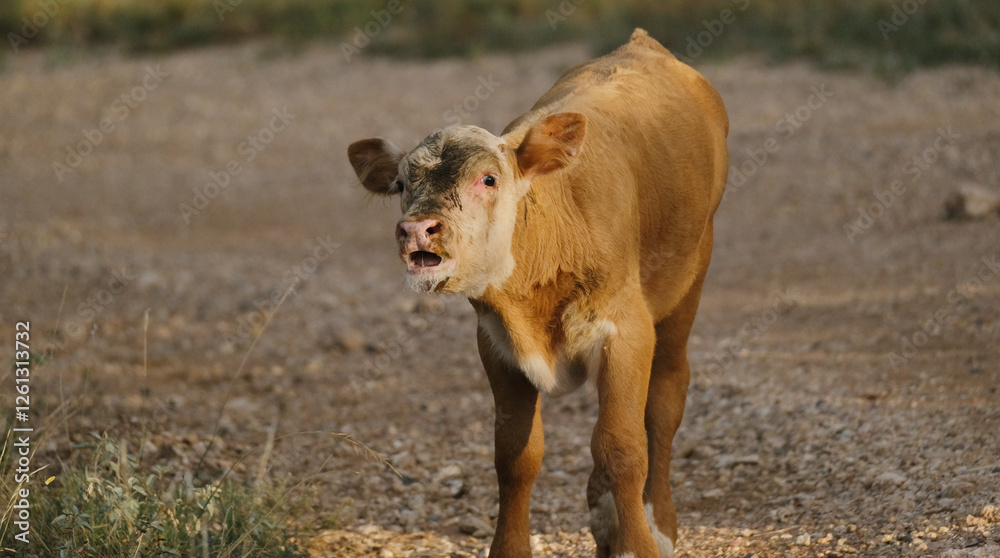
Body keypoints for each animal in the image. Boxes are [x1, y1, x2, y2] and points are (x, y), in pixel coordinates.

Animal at [347, 28, 729, 558]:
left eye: (488, 178)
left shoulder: (625, 328)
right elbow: (515, 456)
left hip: (690, 277)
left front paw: (638, 542)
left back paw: (660, 524)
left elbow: (622, 446)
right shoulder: (495, 342)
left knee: (665, 399)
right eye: (402, 184)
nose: (417, 230)